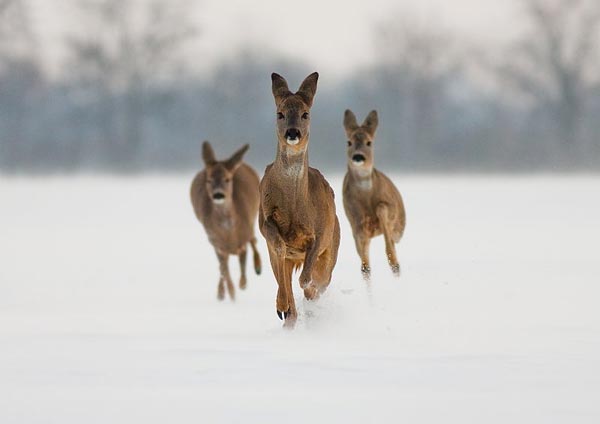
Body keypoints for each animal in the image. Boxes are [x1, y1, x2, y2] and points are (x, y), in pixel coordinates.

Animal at [190, 142, 260, 302]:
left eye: (227, 179)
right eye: (209, 180)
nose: (218, 195)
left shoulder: (243, 238)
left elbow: (242, 262)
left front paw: (242, 285)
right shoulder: (216, 243)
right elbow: (224, 270)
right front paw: (231, 294)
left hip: (253, 218)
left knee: (254, 240)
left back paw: (258, 267)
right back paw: (222, 293)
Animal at [260, 72, 340, 328]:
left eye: (306, 113)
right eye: (280, 113)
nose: (293, 132)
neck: (295, 206)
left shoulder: (321, 231)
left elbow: (307, 278)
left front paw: (308, 293)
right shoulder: (264, 220)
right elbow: (278, 246)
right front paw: (283, 306)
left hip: (333, 247)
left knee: (319, 280)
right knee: (284, 279)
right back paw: (286, 312)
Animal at [342, 109, 408, 282]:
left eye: (369, 142)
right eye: (349, 142)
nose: (358, 157)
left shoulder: (390, 208)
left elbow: (381, 209)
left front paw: (394, 263)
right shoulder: (355, 223)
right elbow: (365, 265)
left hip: (399, 228)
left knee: (393, 242)